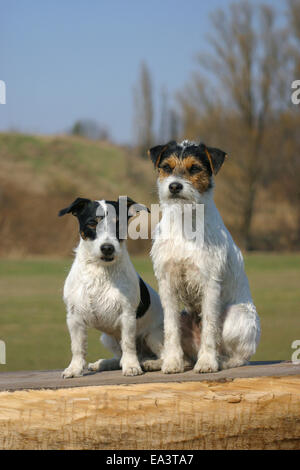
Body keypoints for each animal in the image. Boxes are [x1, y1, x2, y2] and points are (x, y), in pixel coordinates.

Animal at [58, 196, 164, 378]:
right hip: (107, 339)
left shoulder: (127, 316)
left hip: (153, 336)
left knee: (171, 356)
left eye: (118, 224)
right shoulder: (74, 317)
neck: (100, 271)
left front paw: (131, 366)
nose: (107, 248)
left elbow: (128, 344)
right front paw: (74, 368)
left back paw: (149, 363)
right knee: (119, 357)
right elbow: (77, 347)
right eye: (92, 223)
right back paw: (103, 363)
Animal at [149, 140, 260, 374]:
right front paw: (171, 362)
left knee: (239, 356)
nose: (174, 186)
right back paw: (165, 361)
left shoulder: (210, 283)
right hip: (180, 319)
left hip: (236, 317)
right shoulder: (167, 283)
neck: (185, 223)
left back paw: (221, 361)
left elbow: (210, 327)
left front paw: (207, 362)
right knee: (186, 352)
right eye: (167, 167)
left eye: (194, 168)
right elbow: (171, 330)